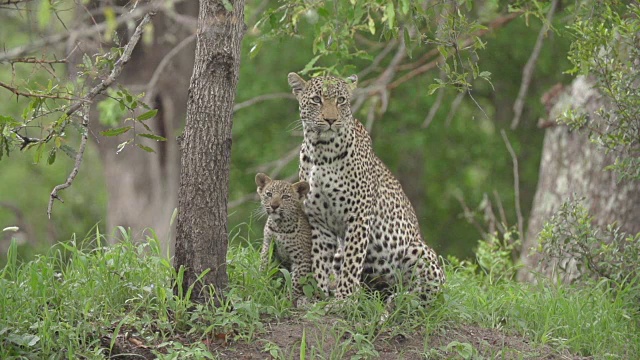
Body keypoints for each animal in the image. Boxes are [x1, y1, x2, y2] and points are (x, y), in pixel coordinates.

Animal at [288, 71, 444, 302]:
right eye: (316, 99)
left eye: (341, 100)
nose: (331, 120)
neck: (321, 151)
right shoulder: (319, 222)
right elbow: (319, 262)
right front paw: (318, 296)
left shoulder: (358, 218)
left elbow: (352, 263)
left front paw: (343, 299)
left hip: (418, 251)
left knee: (430, 292)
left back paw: (400, 299)